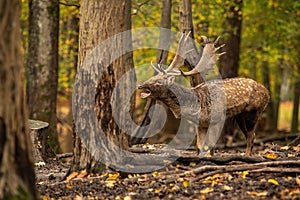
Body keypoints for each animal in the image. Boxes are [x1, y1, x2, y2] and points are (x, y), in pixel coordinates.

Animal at [138, 33, 270, 156]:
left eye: (159, 82)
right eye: (152, 77)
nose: (140, 85)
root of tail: (267, 92)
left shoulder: (217, 119)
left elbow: (210, 145)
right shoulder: (201, 124)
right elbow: (200, 145)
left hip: (255, 111)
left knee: (251, 136)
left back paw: (247, 156)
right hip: (240, 116)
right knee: (250, 135)